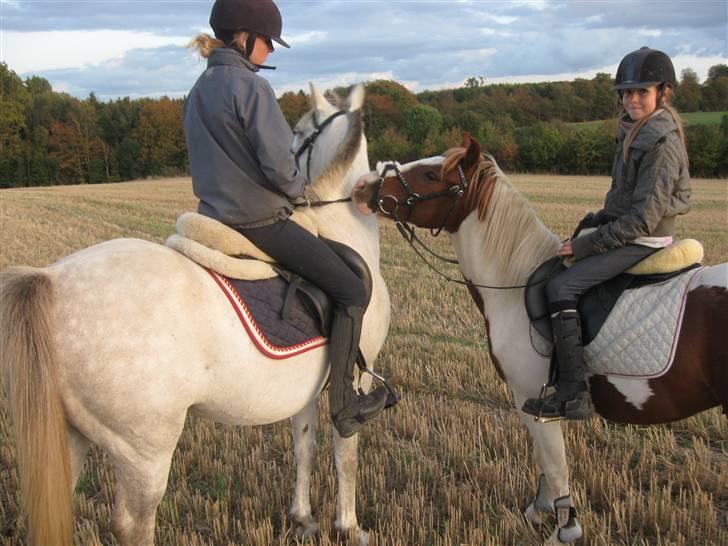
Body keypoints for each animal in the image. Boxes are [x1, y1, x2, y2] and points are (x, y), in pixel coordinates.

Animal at [1, 82, 386, 544]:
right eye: (292, 133)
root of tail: (51, 280)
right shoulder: (357, 377)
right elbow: (346, 451)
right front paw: (349, 526)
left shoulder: (309, 388)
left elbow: (304, 447)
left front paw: (303, 518)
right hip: (144, 450)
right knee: (133, 525)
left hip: (67, 436)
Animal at [352, 134, 728, 540]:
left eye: (430, 174)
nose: (362, 187)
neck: (513, 284)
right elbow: (546, 464)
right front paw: (540, 510)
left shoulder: (532, 396)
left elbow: (556, 465)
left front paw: (564, 529)